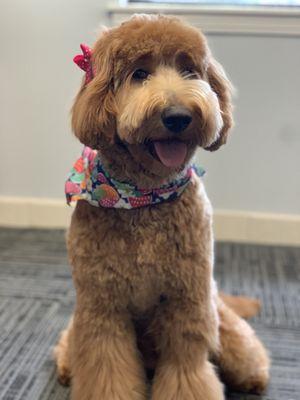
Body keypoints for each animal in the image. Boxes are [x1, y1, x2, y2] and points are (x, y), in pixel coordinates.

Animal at [53, 14, 270, 398]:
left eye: (189, 71)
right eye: (139, 73)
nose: (178, 116)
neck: (143, 198)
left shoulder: (188, 299)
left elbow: (187, 367)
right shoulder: (101, 304)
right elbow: (105, 365)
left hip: (219, 316)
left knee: (245, 350)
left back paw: (254, 377)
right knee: (70, 345)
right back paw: (66, 367)